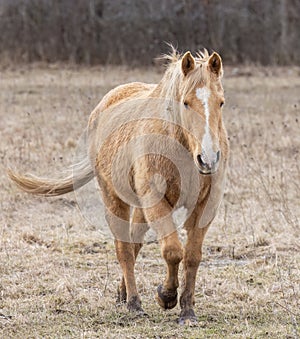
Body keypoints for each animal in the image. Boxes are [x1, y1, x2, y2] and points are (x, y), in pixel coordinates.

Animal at [8, 46, 230, 326]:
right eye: (186, 102)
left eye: (220, 102)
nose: (208, 158)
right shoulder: (156, 201)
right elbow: (172, 251)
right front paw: (166, 296)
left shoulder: (204, 206)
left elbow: (191, 256)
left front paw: (187, 310)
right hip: (115, 200)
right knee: (124, 248)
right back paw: (134, 303)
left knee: (134, 243)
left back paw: (123, 294)